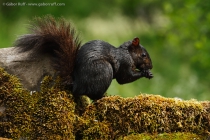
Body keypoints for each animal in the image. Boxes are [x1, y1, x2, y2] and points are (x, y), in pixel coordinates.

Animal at [14, 15, 153, 100]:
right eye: (143, 55)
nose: (151, 66)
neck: (127, 53)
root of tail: (76, 84)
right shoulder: (124, 63)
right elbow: (124, 78)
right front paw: (146, 73)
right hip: (104, 70)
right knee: (93, 95)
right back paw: (104, 96)